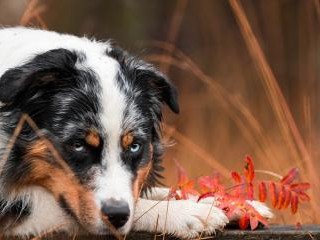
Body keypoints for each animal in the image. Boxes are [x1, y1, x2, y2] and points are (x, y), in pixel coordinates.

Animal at [0, 27, 272, 239]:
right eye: (78, 144)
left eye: (134, 146)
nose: (117, 216)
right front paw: (190, 212)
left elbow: (156, 191)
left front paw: (227, 203)